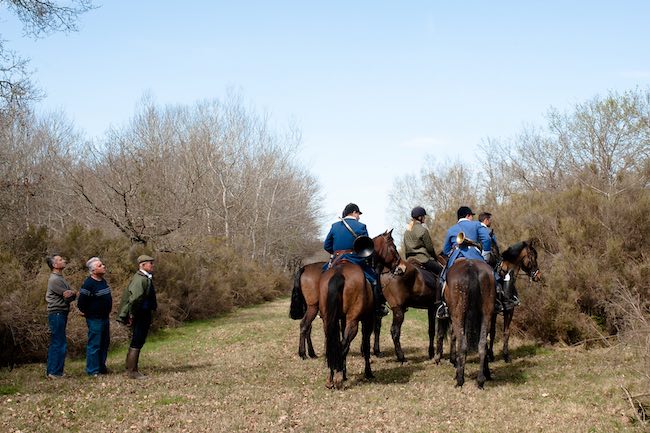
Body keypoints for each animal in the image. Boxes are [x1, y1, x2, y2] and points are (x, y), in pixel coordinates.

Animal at [318, 230, 400, 388]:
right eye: (393, 246)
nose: (400, 266)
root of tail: (339, 273)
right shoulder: (368, 319)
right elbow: (366, 345)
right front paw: (368, 372)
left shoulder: (342, 319)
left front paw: (344, 372)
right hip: (354, 321)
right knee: (343, 344)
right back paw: (337, 377)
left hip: (329, 320)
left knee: (332, 343)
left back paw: (331, 377)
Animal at [442, 256, 494, 388]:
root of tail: (471, 267)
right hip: (487, 315)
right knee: (482, 344)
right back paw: (480, 379)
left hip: (457, 316)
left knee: (462, 344)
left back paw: (460, 379)